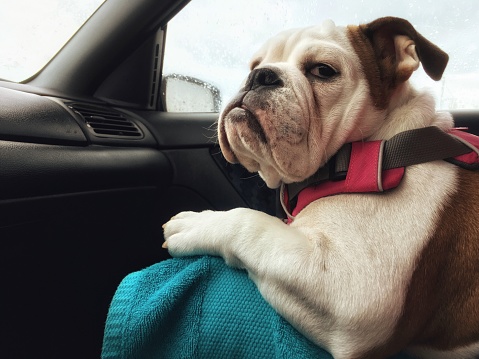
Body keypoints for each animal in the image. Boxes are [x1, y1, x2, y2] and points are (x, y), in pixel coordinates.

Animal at [163, 17, 479, 359]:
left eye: (323, 70)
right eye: (255, 65)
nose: (260, 75)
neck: (380, 150)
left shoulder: (350, 292)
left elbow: (250, 223)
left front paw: (197, 223)